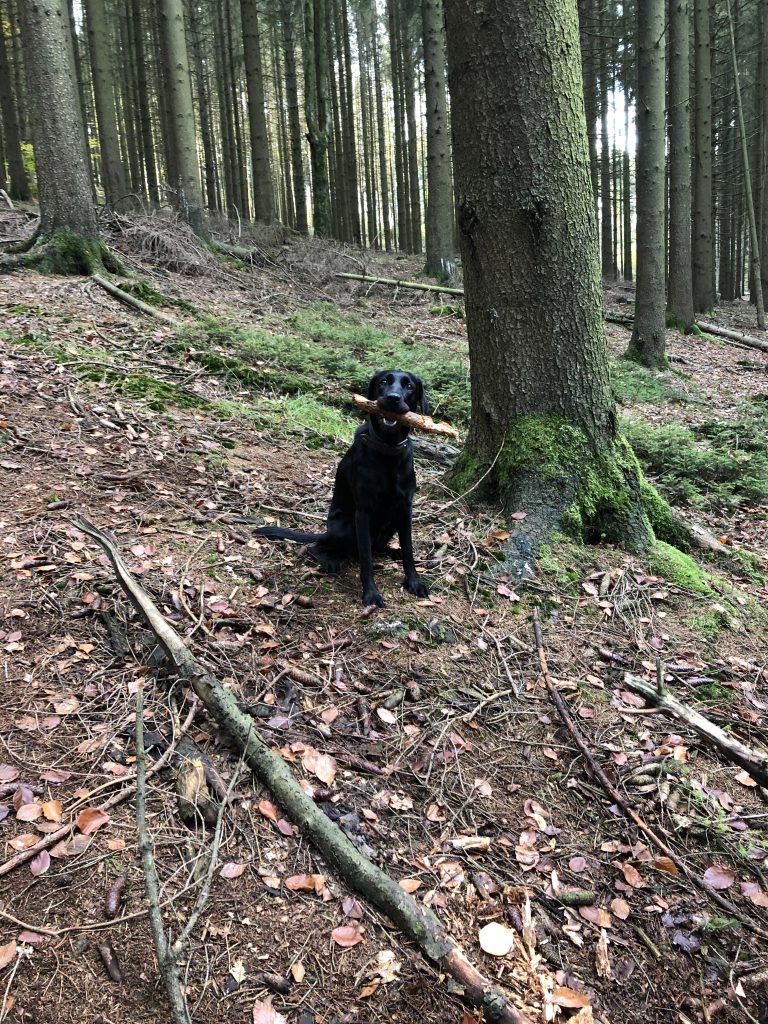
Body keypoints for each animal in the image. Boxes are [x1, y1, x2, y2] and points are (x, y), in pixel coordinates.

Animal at [256, 370, 430, 602]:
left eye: (409, 386)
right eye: (384, 382)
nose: (393, 398)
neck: (388, 450)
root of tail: (326, 532)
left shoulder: (405, 508)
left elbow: (409, 549)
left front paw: (414, 581)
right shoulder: (363, 513)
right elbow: (366, 559)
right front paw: (371, 593)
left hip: (391, 520)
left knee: (378, 547)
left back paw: (393, 551)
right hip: (346, 527)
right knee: (318, 547)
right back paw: (328, 560)